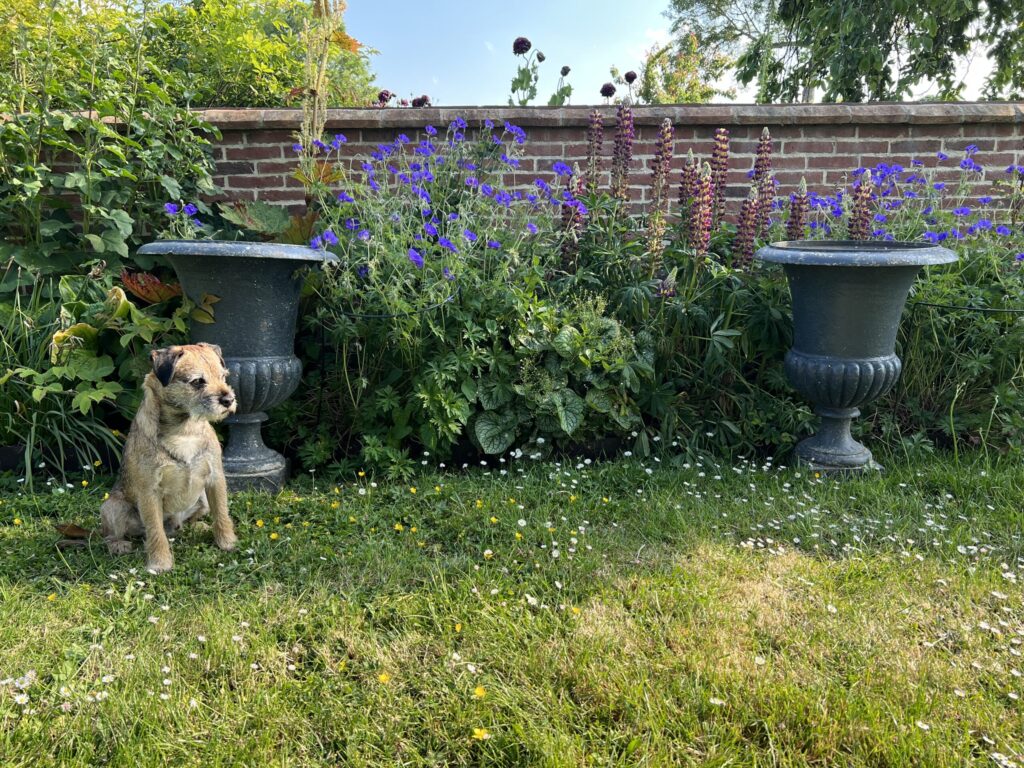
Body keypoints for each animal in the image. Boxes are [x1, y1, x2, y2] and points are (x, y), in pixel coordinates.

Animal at [100, 346, 238, 573]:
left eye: (223, 377)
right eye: (197, 381)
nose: (228, 400)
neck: (185, 429)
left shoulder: (215, 479)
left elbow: (221, 513)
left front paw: (227, 542)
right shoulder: (149, 491)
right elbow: (156, 530)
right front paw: (160, 563)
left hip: (202, 499)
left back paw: (198, 526)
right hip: (113, 506)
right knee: (114, 534)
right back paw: (118, 544)